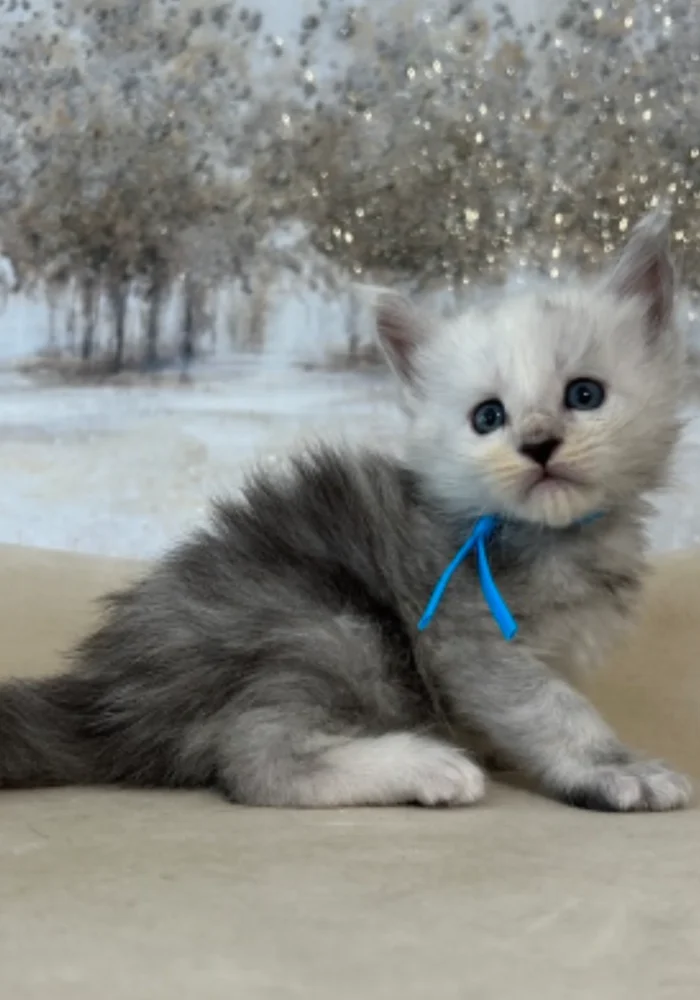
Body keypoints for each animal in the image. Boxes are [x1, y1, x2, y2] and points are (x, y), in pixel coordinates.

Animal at [0, 213, 692, 812]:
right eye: (488, 416)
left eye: (585, 395)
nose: (540, 444)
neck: (550, 537)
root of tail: (107, 693)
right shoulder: (464, 633)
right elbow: (551, 708)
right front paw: (614, 768)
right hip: (333, 630)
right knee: (255, 759)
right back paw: (425, 765)